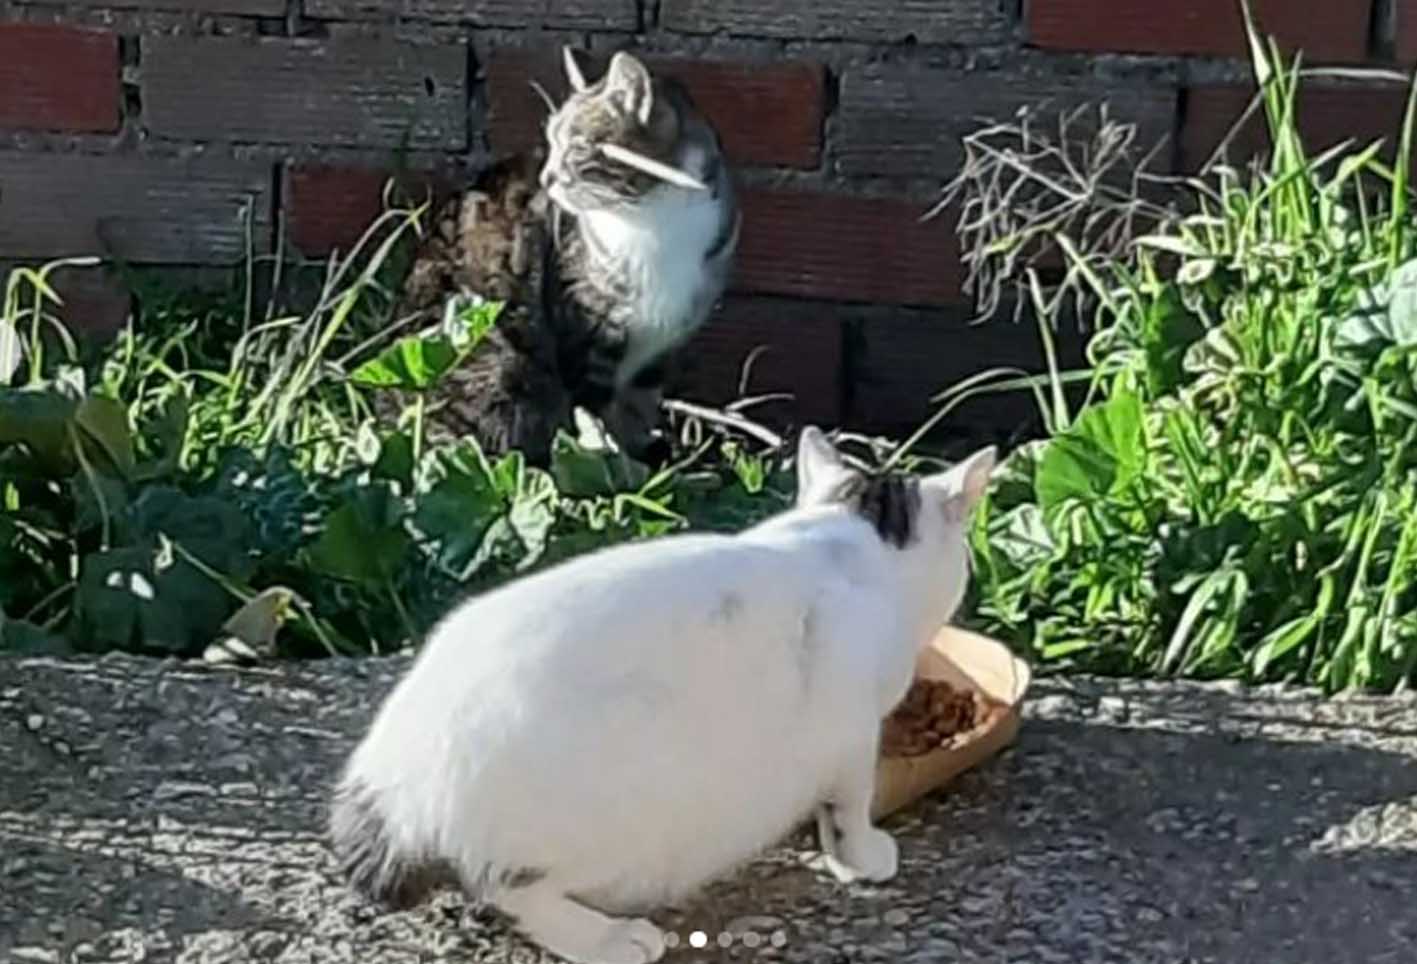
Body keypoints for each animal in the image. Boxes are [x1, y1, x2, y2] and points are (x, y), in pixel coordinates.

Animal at [331, 428, 997, 963]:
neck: (851, 538)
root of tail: (393, 781)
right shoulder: (853, 734)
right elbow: (849, 809)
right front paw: (859, 857)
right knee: (509, 891)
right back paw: (609, 939)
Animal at [388, 48, 742, 462]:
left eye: (575, 147)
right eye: (551, 143)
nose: (546, 178)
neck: (651, 217)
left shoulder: (660, 351)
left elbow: (638, 409)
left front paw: (645, 460)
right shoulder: (585, 333)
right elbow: (594, 418)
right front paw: (614, 463)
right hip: (495, 354)